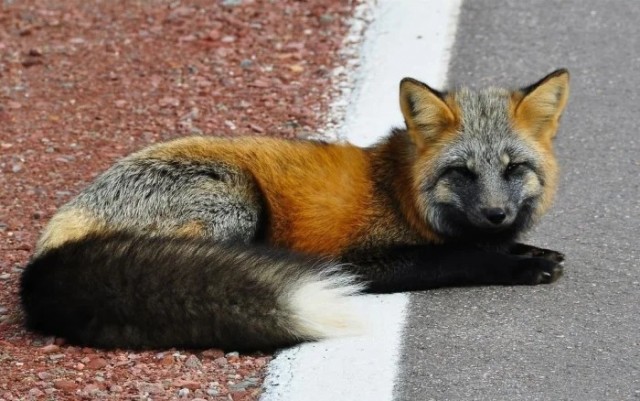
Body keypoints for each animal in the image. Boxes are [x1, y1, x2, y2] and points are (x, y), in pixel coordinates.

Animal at [20, 69, 570, 351]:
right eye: (462, 173)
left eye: (513, 168)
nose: (497, 214)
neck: (399, 193)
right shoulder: (360, 258)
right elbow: (458, 258)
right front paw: (518, 264)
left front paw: (527, 250)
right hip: (237, 201)